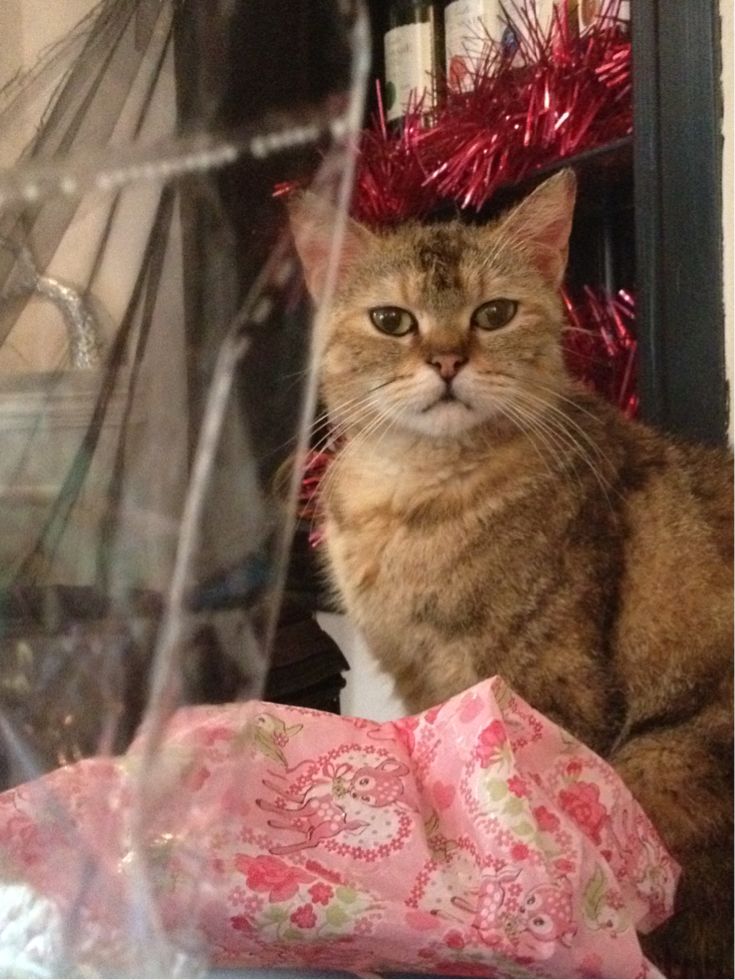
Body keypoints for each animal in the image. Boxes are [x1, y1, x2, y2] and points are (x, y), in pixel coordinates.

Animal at [288, 170, 733, 978]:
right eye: (392, 320)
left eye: (493, 314)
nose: (446, 361)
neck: (415, 494)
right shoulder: (425, 686)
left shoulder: (541, 686)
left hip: (659, 760)